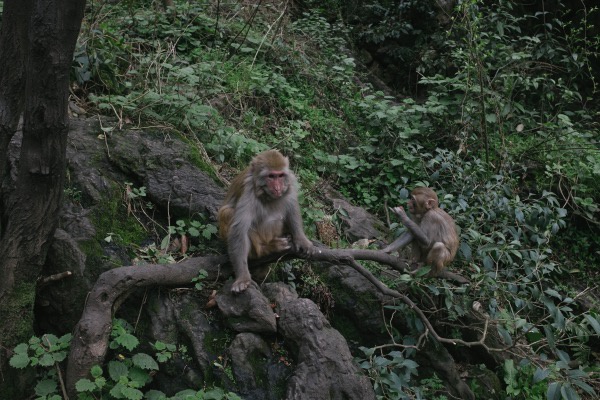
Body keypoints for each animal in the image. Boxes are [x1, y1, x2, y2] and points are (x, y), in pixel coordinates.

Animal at [219, 148, 314, 292]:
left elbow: (292, 211)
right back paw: (267, 248)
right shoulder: (248, 193)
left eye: (280, 176)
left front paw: (302, 240)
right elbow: (239, 231)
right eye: (271, 176)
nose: (278, 188)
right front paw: (243, 278)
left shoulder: (289, 186)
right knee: (227, 213)